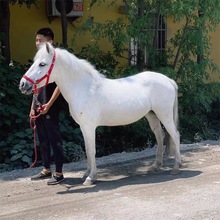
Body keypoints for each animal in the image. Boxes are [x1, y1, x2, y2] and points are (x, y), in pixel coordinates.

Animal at [19, 43, 180, 186]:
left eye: (42, 64)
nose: (22, 84)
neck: (84, 88)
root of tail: (168, 80)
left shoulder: (90, 127)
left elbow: (92, 151)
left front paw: (91, 178)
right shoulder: (83, 127)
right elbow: (87, 150)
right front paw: (86, 174)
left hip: (164, 115)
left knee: (175, 135)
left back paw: (176, 167)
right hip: (152, 115)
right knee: (160, 136)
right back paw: (155, 166)